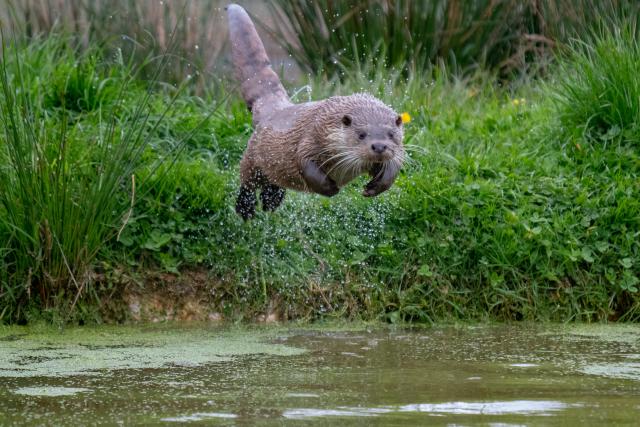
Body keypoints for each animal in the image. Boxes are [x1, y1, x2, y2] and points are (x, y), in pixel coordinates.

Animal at [227, 4, 405, 220]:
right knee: (247, 180)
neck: (328, 123)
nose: (379, 146)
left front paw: (376, 186)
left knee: (271, 184)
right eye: (361, 134)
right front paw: (330, 188)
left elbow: (393, 166)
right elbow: (305, 163)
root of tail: (275, 109)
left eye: (391, 134)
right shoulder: (312, 136)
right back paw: (246, 208)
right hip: (254, 154)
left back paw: (271, 202)